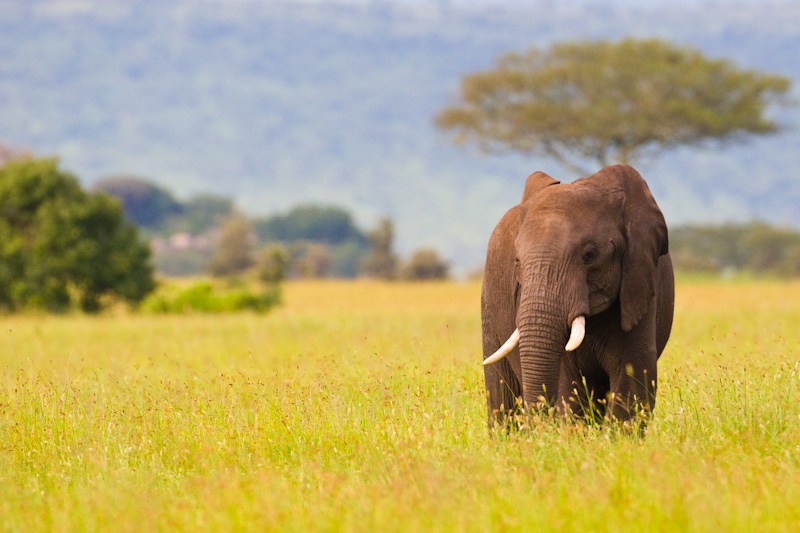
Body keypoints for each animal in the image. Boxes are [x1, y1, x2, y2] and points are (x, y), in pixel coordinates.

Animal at [482, 163, 676, 424]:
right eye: (517, 260)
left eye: (590, 255)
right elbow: (569, 387)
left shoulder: (640, 281)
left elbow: (633, 378)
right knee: (500, 396)